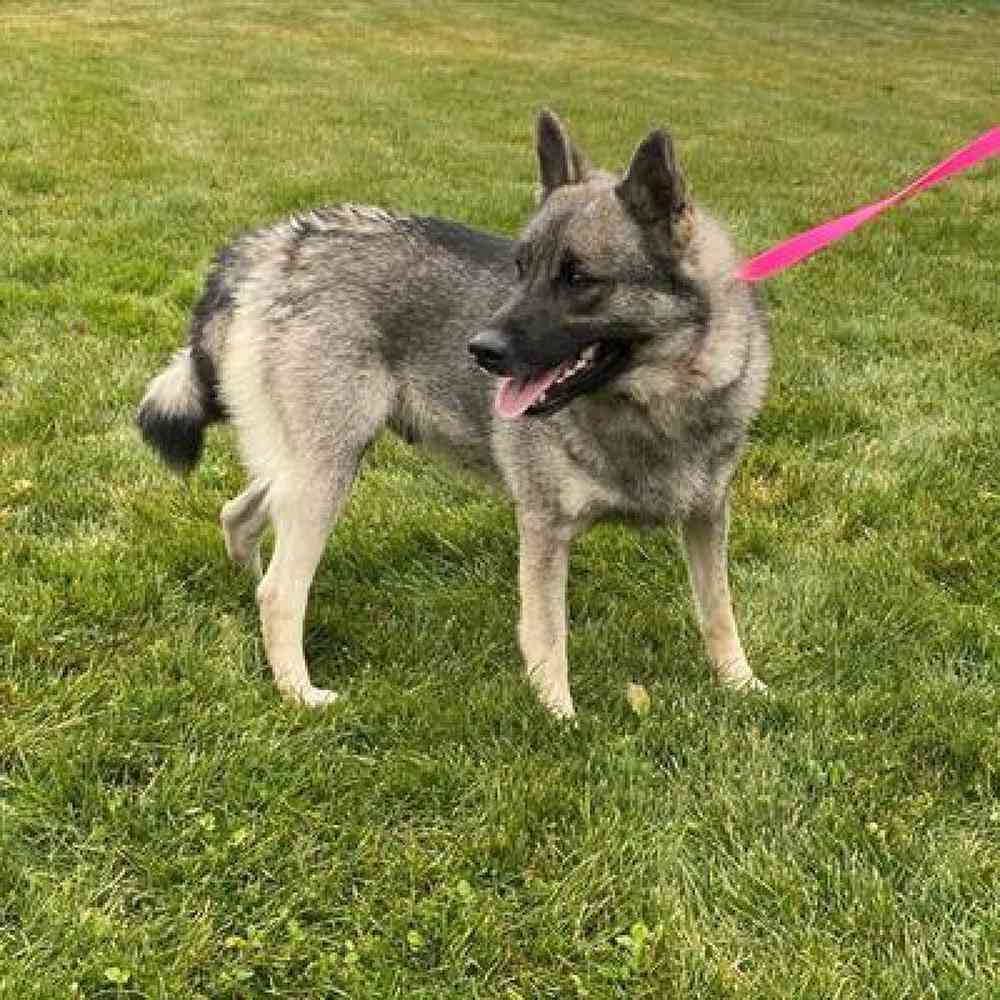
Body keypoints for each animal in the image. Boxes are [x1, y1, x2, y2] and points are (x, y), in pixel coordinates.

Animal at [137, 111, 768, 720]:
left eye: (579, 279)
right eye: (520, 268)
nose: (481, 350)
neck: (654, 404)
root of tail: (270, 246)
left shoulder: (706, 517)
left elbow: (719, 613)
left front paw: (741, 684)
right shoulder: (544, 529)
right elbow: (549, 636)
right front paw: (559, 718)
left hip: (310, 466)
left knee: (238, 519)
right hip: (326, 472)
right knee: (279, 592)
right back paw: (297, 692)